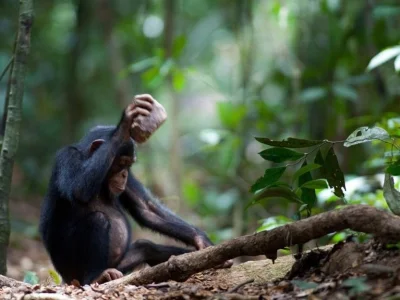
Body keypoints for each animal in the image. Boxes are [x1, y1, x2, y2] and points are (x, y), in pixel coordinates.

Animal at [40, 95, 214, 284]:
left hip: (120, 265)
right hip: (72, 272)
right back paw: (97, 276)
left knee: (145, 247)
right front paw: (126, 123)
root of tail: (64, 278)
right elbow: (79, 189)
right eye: (121, 162)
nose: (123, 174)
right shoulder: (67, 157)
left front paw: (201, 240)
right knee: (98, 219)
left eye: (129, 165)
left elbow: (146, 208)